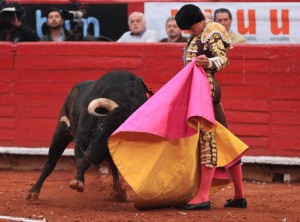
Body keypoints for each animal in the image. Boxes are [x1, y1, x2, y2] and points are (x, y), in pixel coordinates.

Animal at [25, 70, 152, 202]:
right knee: (50, 163)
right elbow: (82, 160)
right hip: (60, 132)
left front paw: (120, 191)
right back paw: (33, 192)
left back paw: (118, 191)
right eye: (102, 125)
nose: (91, 156)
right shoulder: (82, 136)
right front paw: (78, 182)